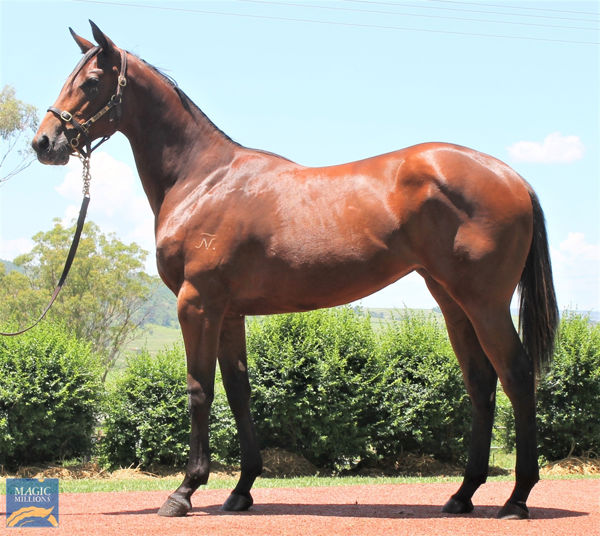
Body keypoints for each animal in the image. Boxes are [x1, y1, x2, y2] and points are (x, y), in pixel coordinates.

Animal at [31, 22, 556, 520]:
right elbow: (239, 391)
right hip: (451, 299)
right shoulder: (229, 312)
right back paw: (463, 495)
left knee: (515, 373)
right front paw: (241, 490)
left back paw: (517, 499)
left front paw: (184, 491)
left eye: (91, 82)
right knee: (481, 382)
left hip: (485, 302)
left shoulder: (197, 303)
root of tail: (511, 176)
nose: (44, 142)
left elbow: (200, 390)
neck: (202, 179)